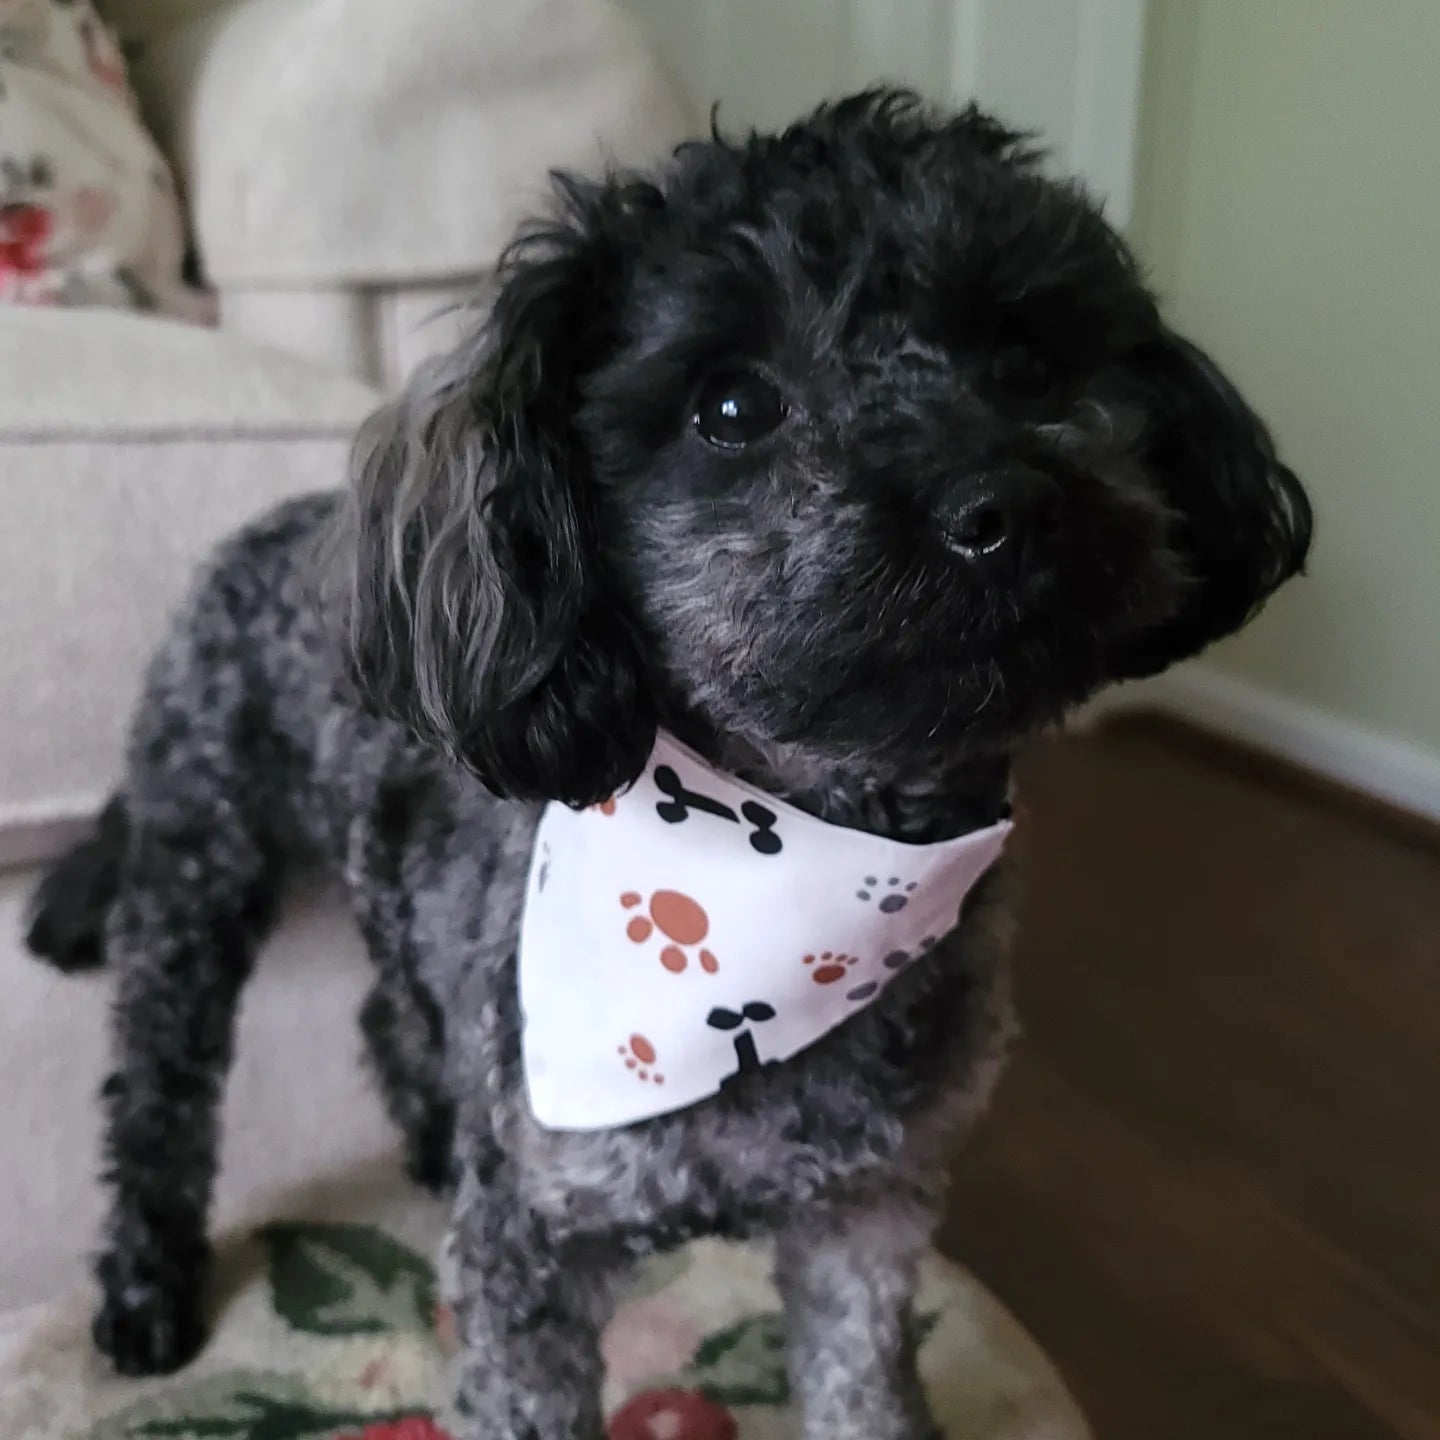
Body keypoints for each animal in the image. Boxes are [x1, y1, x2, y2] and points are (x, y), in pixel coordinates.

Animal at [22, 92, 1313, 1440]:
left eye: (1026, 361)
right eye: (732, 407)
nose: (1003, 504)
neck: (810, 869)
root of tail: (271, 536)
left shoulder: (870, 1211)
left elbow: (864, 1387)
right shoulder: (536, 1247)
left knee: (391, 1009)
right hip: (194, 874)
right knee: (157, 1101)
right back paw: (146, 1289)